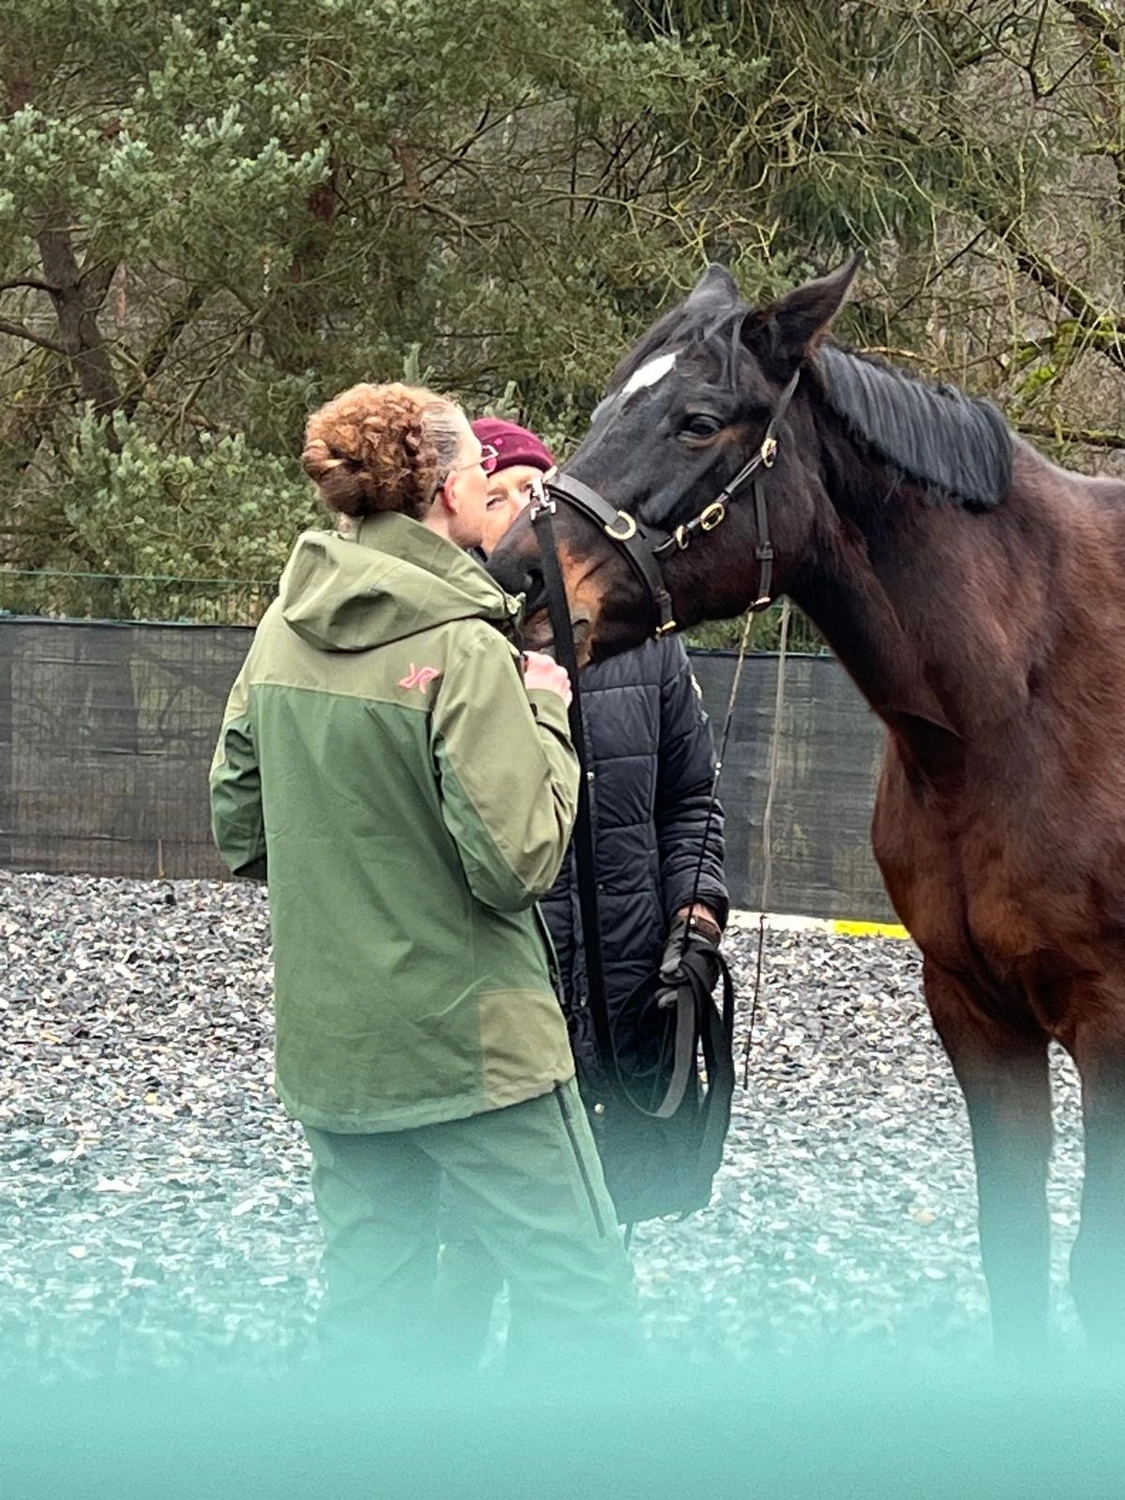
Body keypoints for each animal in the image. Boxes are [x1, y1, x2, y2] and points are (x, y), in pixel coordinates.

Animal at [487, 258, 1125, 1355]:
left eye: (699, 422)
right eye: (612, 401)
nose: (521, 574)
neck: (1021, 702)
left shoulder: (1112, 1024)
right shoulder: (976, 1011)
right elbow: (1012, 1250)